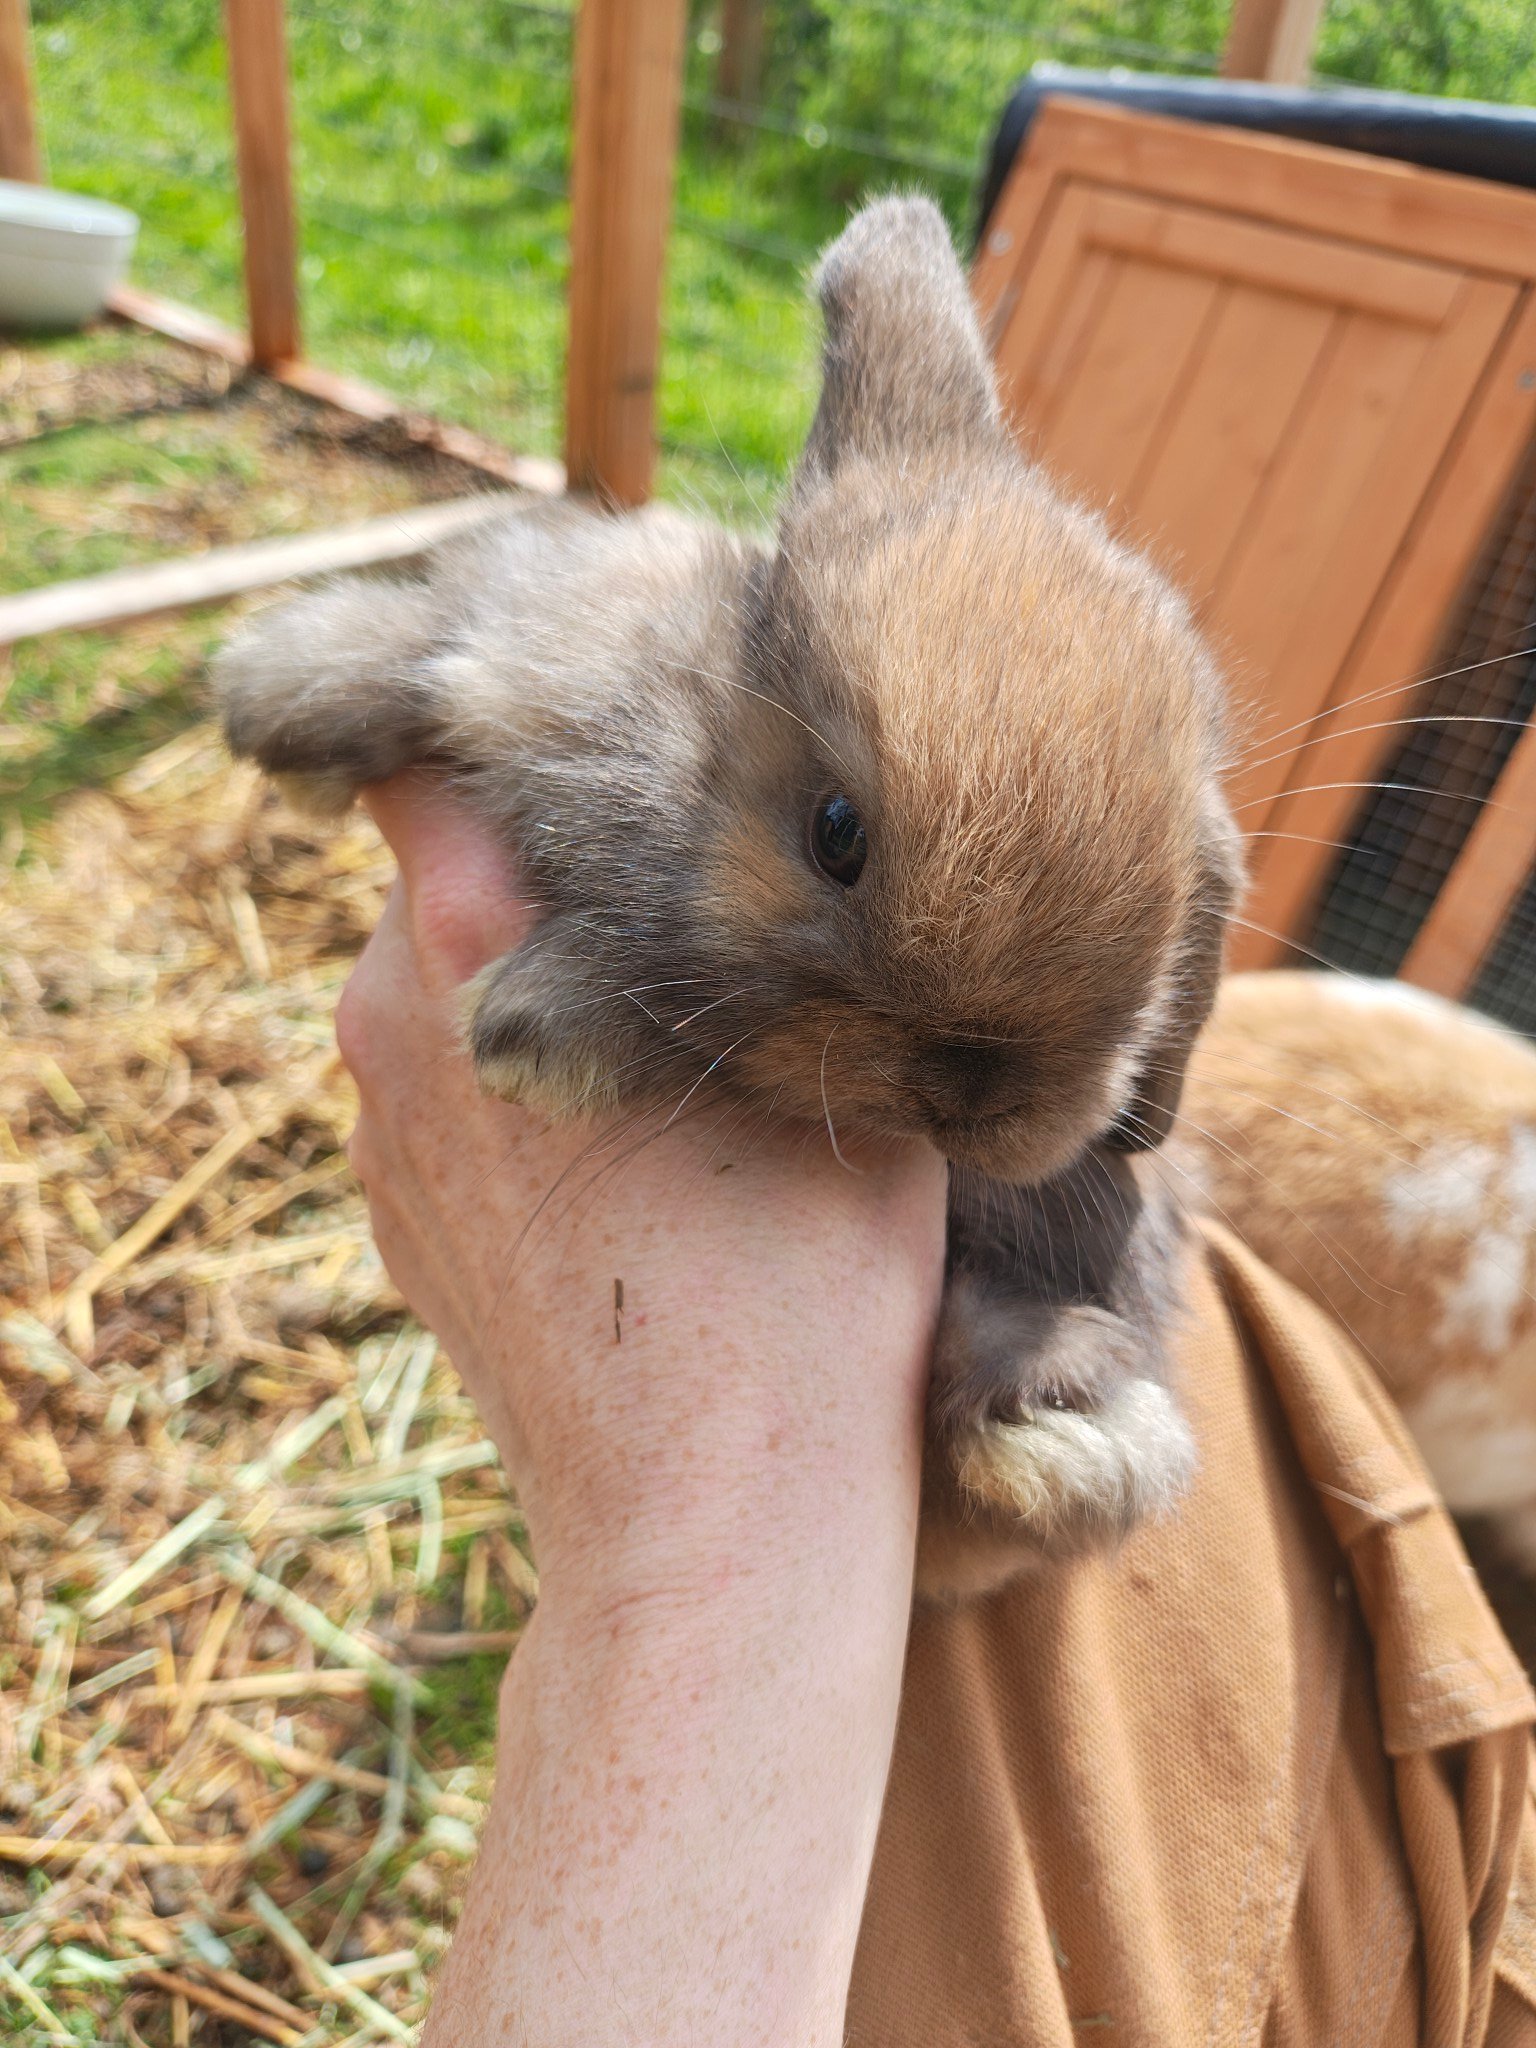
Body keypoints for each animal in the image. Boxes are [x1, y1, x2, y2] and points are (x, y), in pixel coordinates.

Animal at [217, 195, 1242, 1601]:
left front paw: (536, 1033)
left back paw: (1060, 1427)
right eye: (836, 832)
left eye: (1183, 890)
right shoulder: (534, 630)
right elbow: (424, 654)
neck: (685, 764)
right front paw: (274, 690)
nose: (980, 1101)